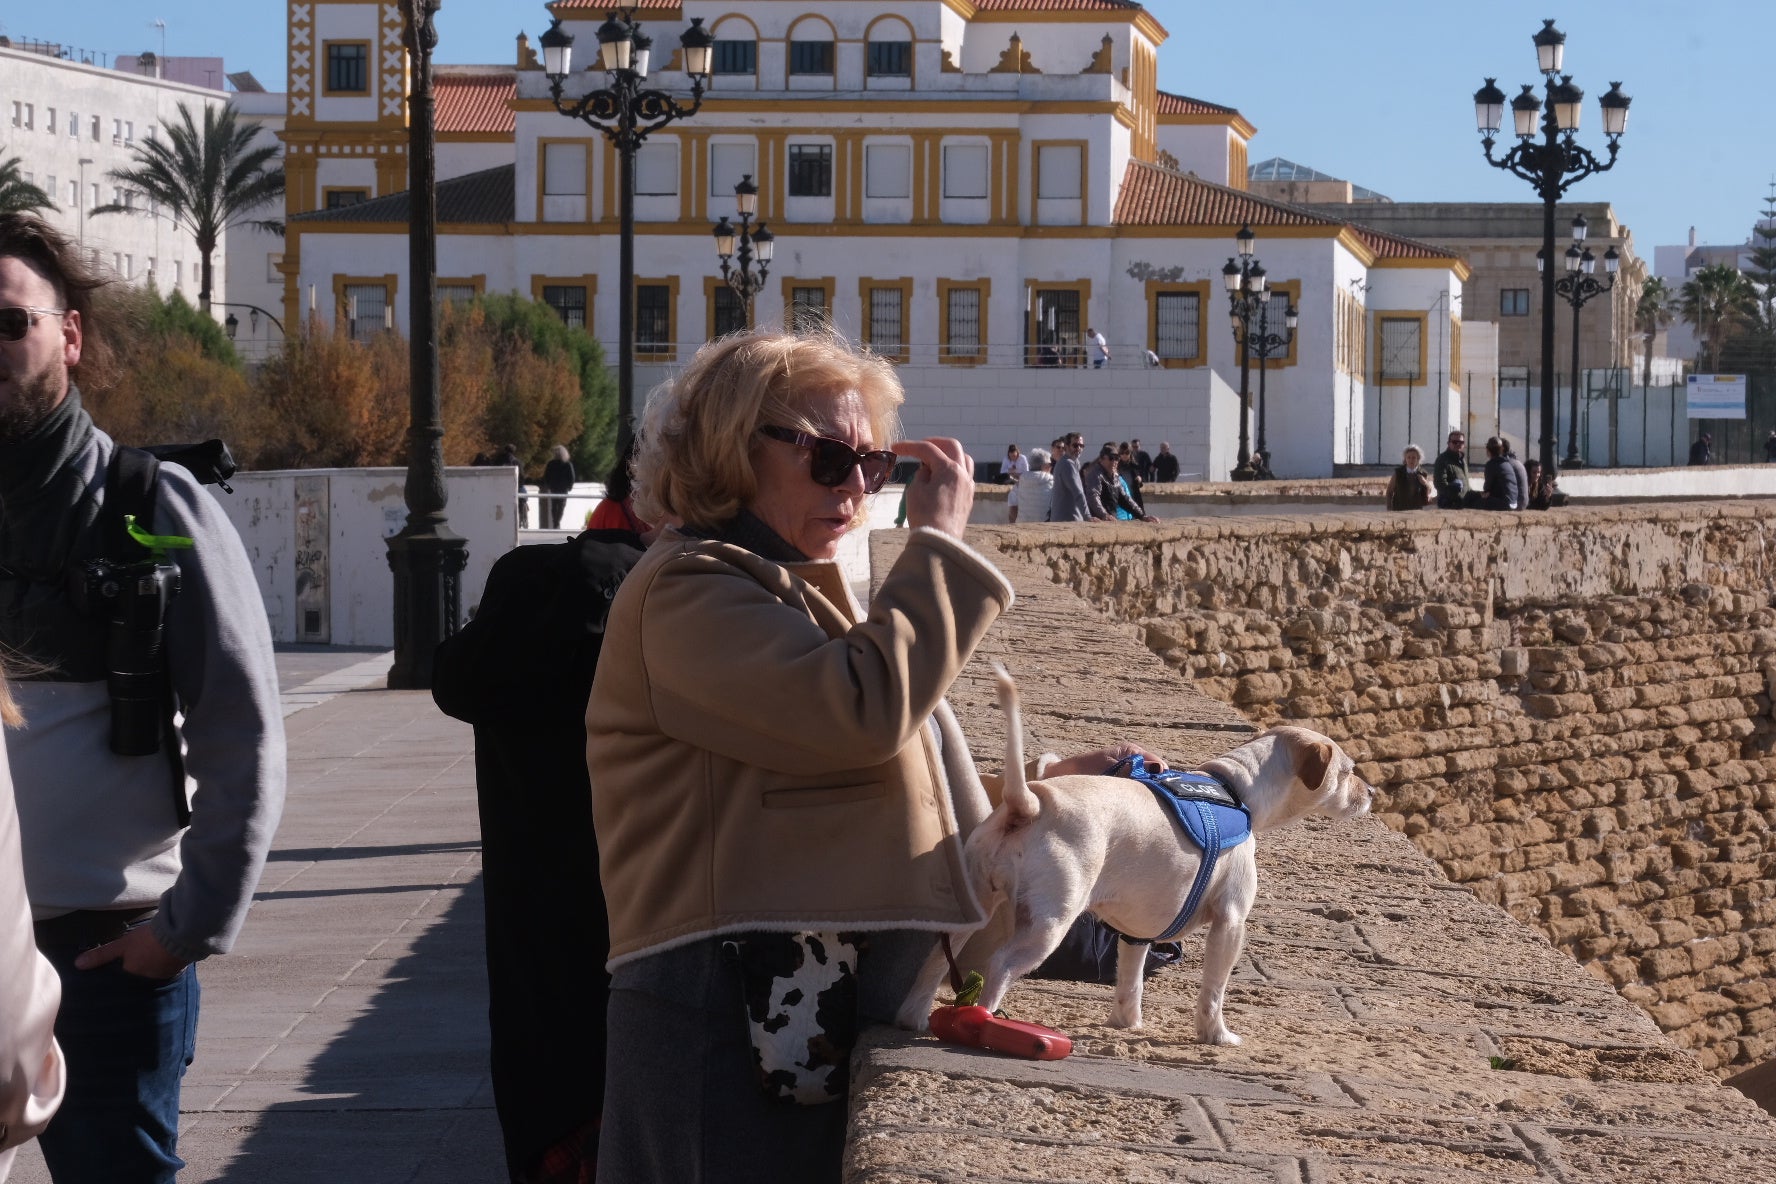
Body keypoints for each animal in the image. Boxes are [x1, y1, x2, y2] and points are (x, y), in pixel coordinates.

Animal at [902, 667, 1371, 1043]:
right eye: (1348, 772)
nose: (1372, 793)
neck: (1236, 790)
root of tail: (1029, 804)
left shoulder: (1136, 932)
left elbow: (1130, 981)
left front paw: (1126, 1024)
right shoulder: (1231, 921)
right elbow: (1214, 990)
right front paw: (1216, 1036)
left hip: (973, 903)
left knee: (933, 961)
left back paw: (913, 1017)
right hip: (1048, 924)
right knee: (998, 966)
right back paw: (985, 1022)